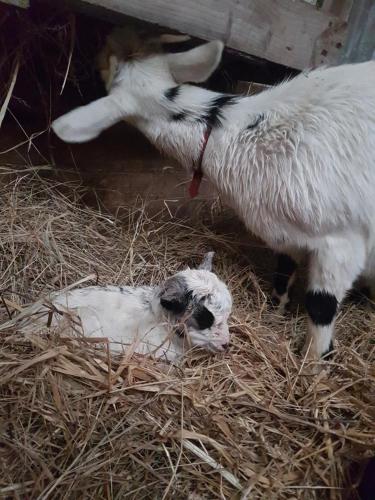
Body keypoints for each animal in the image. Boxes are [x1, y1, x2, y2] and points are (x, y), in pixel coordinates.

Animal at [51, 27, 375, 364]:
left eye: (107, 66)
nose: (92, 57)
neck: (238, 134)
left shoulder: (341, 243)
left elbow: (321, 307)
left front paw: (312, 363)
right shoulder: (287, 234)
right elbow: (283, 273)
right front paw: (276, 313)